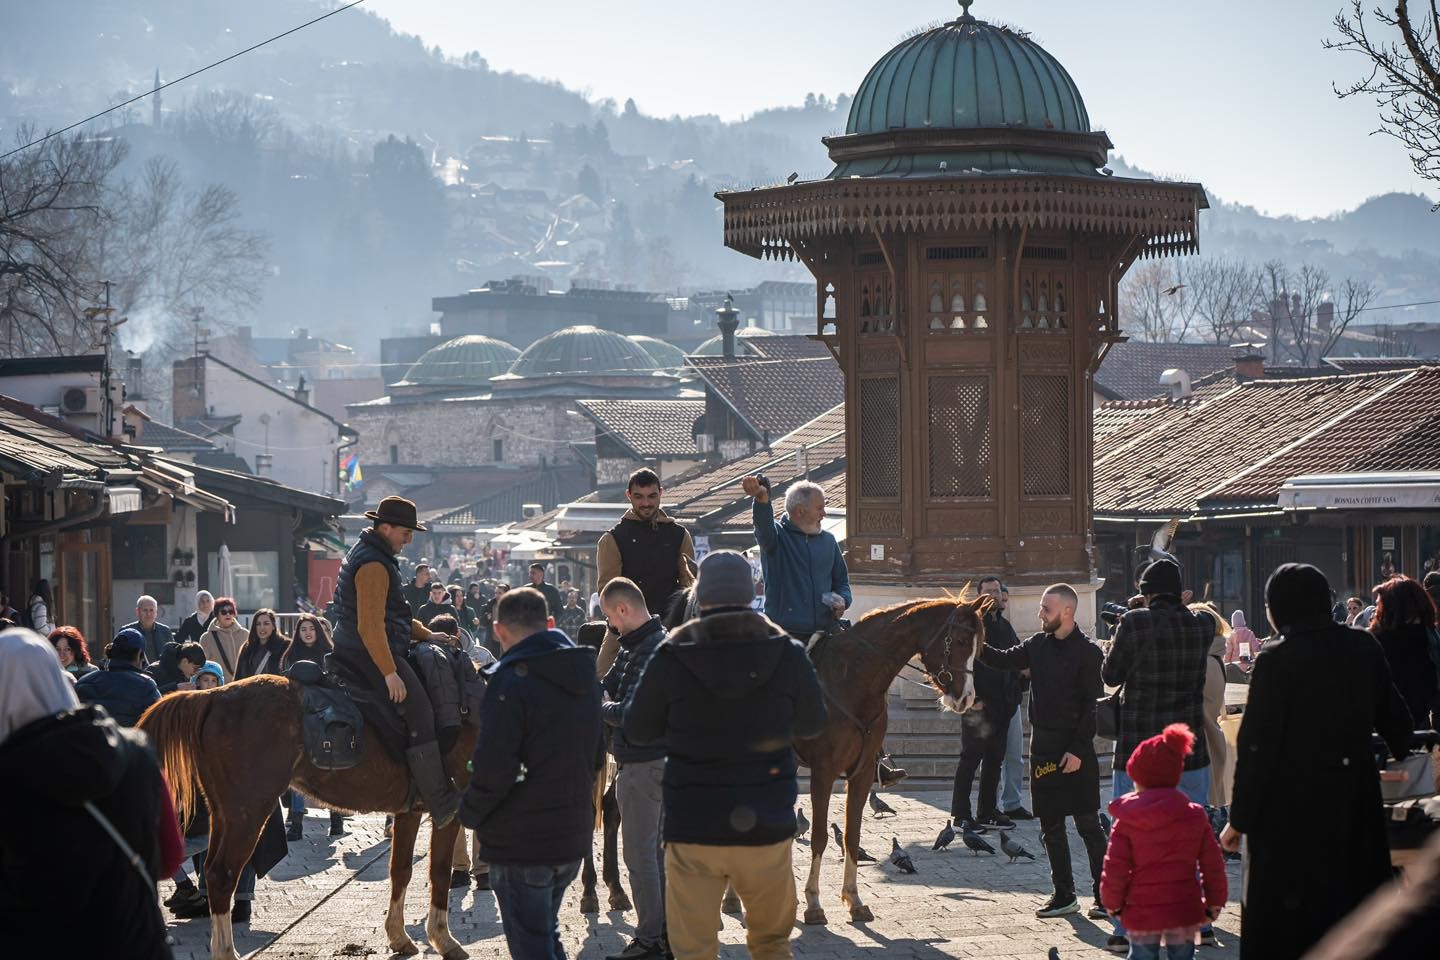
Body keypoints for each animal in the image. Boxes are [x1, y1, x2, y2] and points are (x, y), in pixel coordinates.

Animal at [136, 676, 472, 960]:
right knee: (222, 874)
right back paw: (226, 952)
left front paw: (399, 936)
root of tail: (212, 696)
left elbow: (401, 870)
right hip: (248, 811)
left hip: (224, 813)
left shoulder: (409, 812)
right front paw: (443, 938)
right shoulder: (450, 811)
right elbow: (439, 871)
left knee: (211, 870)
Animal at [800, 592, 990, 921]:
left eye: (979, 646)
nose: (966, 698)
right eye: (962, 640)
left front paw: (854, 899)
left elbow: (852, 835)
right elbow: (820, 836)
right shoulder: (823, 770)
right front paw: (813, 902)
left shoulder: (862, 772)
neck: (852, 681)